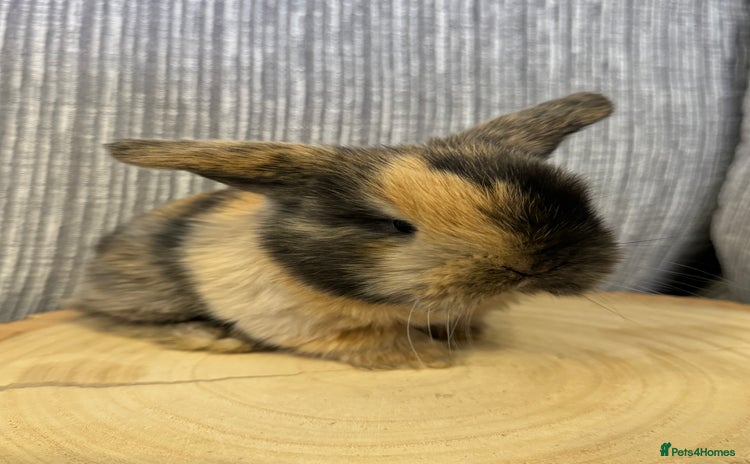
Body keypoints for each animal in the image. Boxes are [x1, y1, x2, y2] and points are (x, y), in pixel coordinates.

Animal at [65, 92, 619, 369]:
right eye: (396, 225)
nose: (532, 266)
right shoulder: (303, 321)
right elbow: (362, 337)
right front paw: (427, 359)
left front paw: (469, 334)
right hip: (146, 295)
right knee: (102, 318)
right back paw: (212, 339)